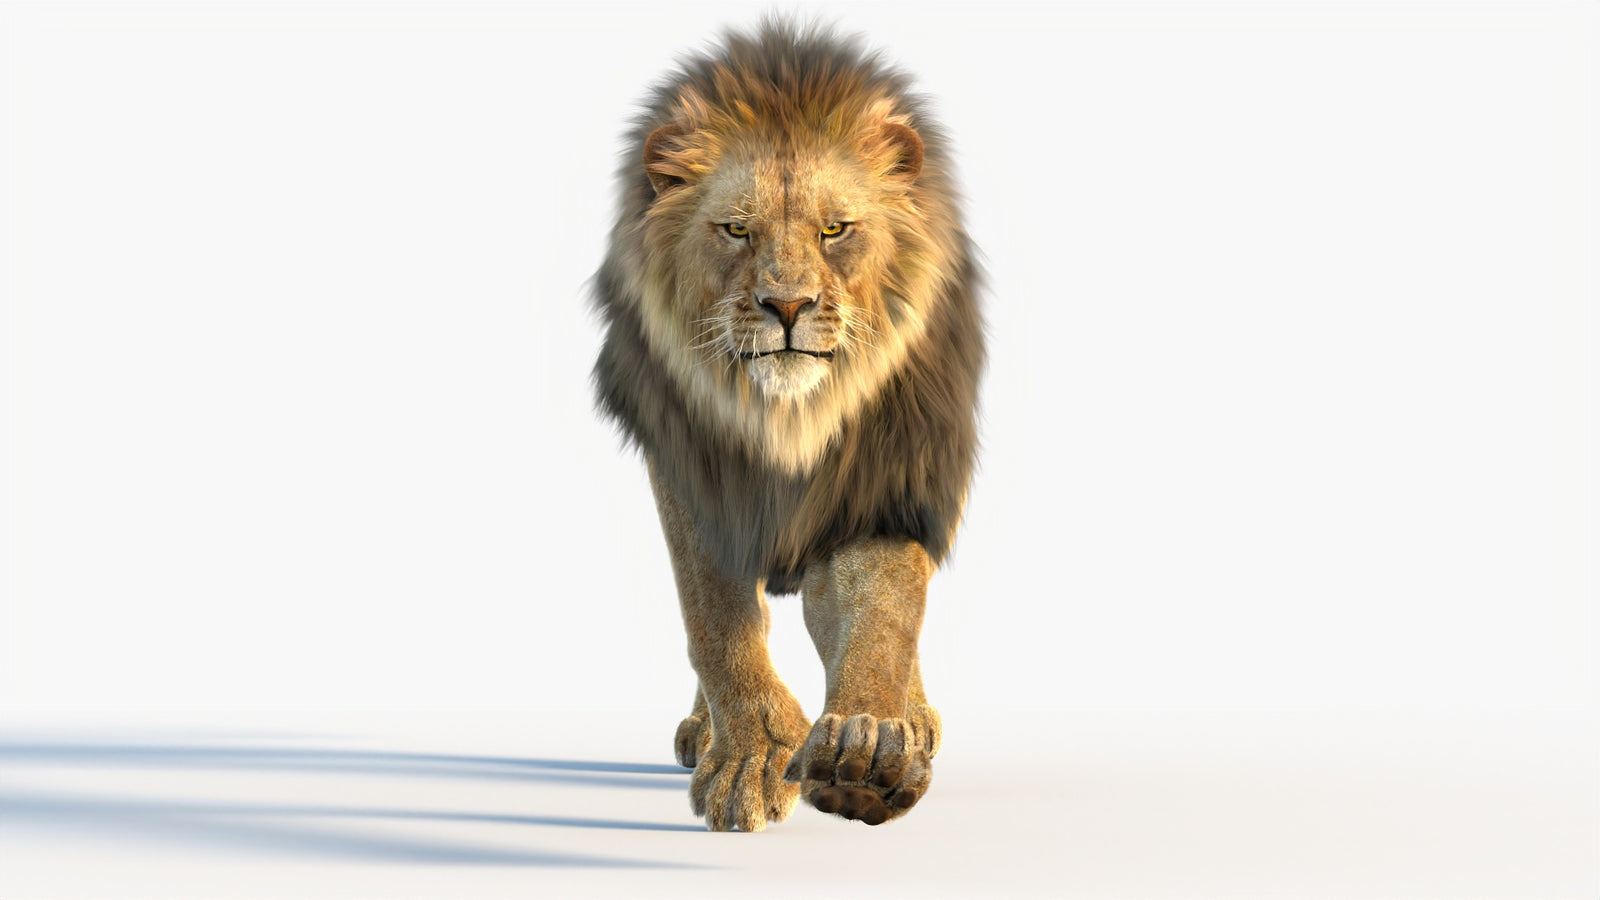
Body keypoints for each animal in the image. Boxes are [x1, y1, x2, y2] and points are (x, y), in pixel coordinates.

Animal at [591, 21, 983, 831]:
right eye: (737, 230)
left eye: (835, 229)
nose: (788, 306)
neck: (788, 418)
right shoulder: (693, 468)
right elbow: (716, 619)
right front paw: (751, 755)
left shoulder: (885, 472)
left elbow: (885, 609)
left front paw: (869, 747)